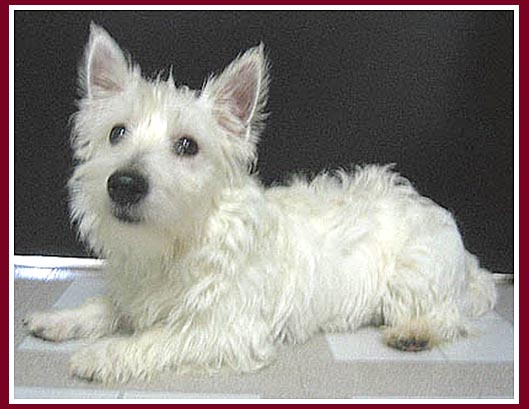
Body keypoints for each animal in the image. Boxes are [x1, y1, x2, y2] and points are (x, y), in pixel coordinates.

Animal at [23, 24, 496, 382]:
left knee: (450, 316)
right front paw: (57, 320)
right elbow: (106, 306)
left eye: (187, 145)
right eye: (117, 133)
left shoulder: (224, 329)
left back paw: (414, 333)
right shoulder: (133, 293)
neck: (178, 243)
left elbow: (158, 338)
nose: (123, 184)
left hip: (411, 278)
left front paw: (103, 354)